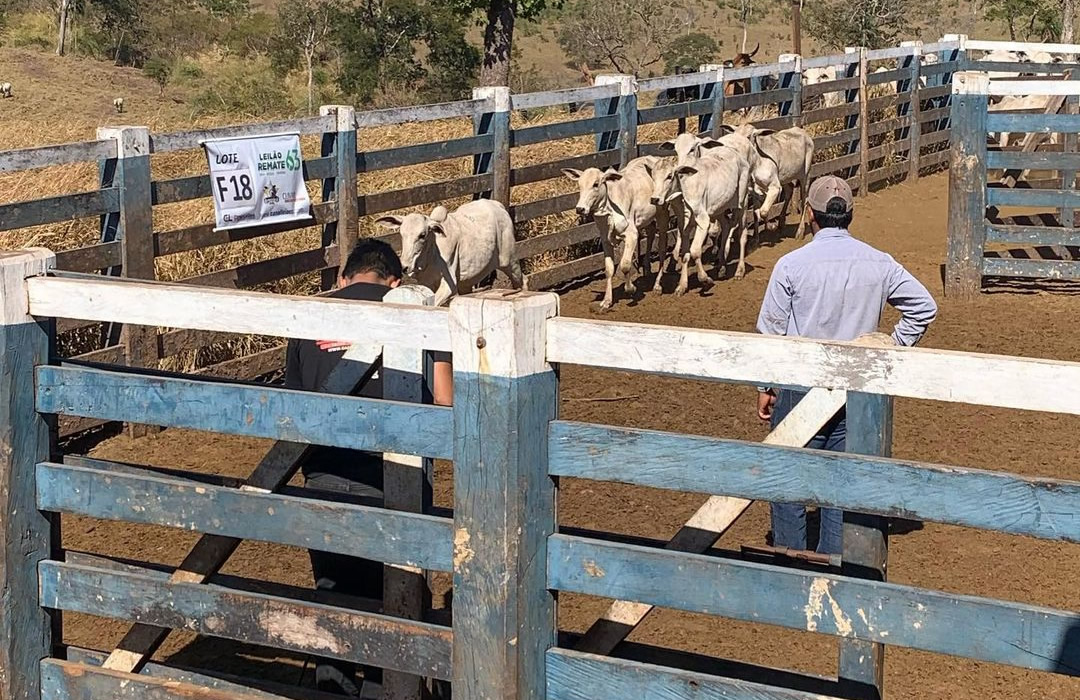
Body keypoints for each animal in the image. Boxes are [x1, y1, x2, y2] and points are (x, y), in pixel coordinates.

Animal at [373, 198, 520, 304]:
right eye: (401, 234)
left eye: (422, 235)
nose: (404, 267)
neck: (431, 257)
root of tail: (497, 205)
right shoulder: (426, 283)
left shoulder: (449, 285)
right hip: (467, 280)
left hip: (510, 262)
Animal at [561, 155, 669, 308]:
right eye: (580, 185)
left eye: (595, 184)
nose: (580, 209)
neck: (609, 207)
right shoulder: (606, 240)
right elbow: (609, 269)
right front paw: (607, 300)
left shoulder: (631, 235)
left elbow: (625, 265)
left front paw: (630, 288)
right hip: (646, 218)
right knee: (651, 232)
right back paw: (647, 269)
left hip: (662, 214)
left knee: (662, 247)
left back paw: (657, 285)